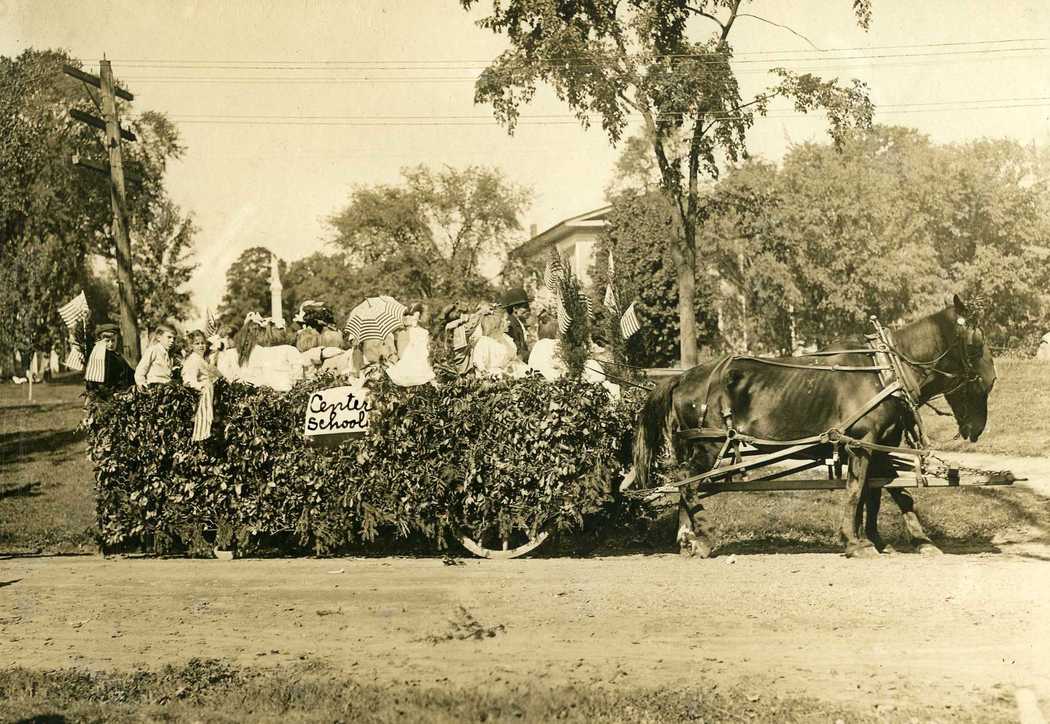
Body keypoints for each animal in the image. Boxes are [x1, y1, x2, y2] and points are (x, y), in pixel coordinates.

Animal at [634, 293, 995, 558]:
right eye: (975, 344)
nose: (991, 379)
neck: (884, 371)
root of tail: (682, 378)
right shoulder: (861, 443)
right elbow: (856, 492)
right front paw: (856, 542)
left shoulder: (878, 446)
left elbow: (887, 491)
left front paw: (906, 540)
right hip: (709, 446)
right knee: (688, 484)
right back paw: (705, 536)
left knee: (685, 485)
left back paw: (688, 539)